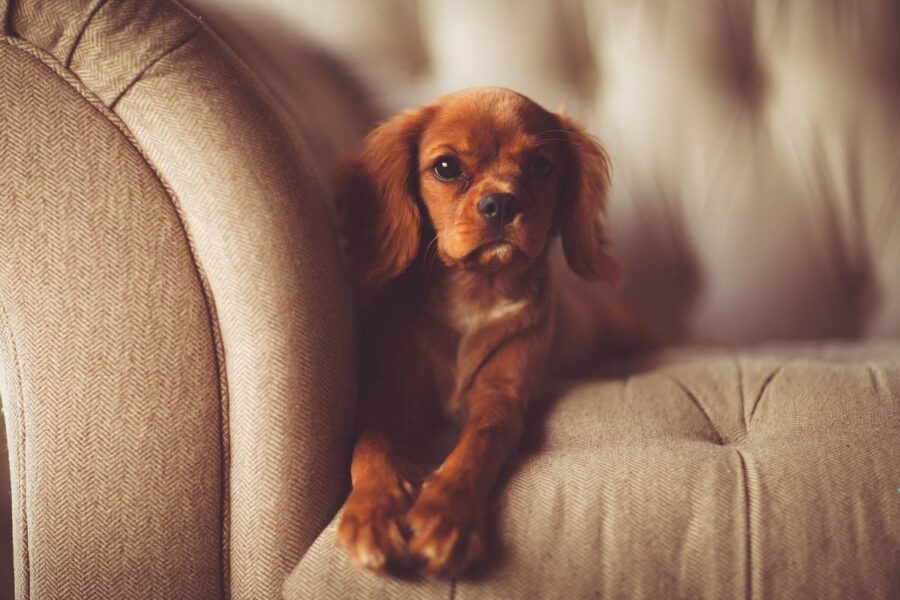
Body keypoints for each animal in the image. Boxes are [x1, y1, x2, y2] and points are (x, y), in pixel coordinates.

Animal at [336, 88, 640, 576]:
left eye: (541, 167)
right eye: (446, 167)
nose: (500, 203)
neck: (478, 290)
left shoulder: (503, 395)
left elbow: (480, 441)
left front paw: (445, 514)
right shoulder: (394, 396)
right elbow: (370, 444)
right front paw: (373, 512)